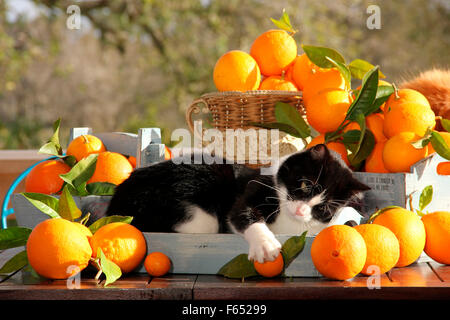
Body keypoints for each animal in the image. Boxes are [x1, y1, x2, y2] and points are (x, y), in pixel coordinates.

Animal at [105, 144, 370, 262]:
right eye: (305, 184)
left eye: (324, 208)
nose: (301, 209)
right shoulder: (252, 189)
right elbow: (242, 213)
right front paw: (266, 246)